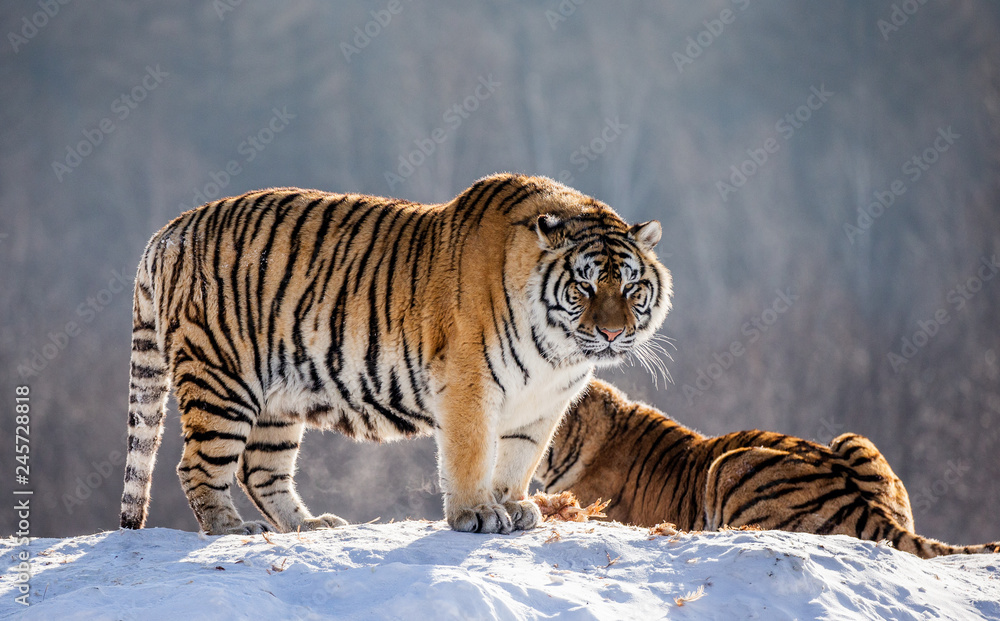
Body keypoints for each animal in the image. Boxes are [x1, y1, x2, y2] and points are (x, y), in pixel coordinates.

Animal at [120, 173, 672, 536]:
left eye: (631, 286)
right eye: (583, 286)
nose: (612, 332)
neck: (555, 353)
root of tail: (168, 231)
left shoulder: (543, 403)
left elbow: (519, 457)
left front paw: (513, 506)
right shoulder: (469, 383)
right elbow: (472, 453)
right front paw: (476, 514)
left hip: (278, 398)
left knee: (260, 469)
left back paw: (310, 525)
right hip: (222, 377)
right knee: (197, 466)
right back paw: (232, 530)